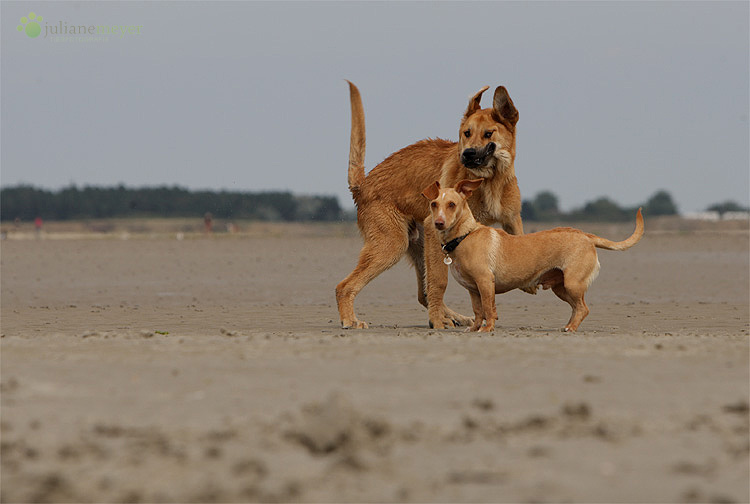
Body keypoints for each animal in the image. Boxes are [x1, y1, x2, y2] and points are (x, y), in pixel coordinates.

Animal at [338, 80, 524, 328]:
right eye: (467, 133)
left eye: (488, 134)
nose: (467, 154)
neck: (489, 180)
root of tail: (363, 185)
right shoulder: (435, 228)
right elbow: (439, 281)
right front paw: (436, 322)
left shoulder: (512, 220)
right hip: (393, 245)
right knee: (344, 286)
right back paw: (351, 320)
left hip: (418, 247)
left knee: (422, 294)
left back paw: (454, 317)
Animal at [424, 179, 648, 332]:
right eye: (434, 204)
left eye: (452, 204)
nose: (439, 223)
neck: (464, 236)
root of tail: (586, 235)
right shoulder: (473, 289)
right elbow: (478, 311)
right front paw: (474, 328)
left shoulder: (485, 282)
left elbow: (489, 309)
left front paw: (487, 329)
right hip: (561, 288)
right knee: (577, 308)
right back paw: (567, 326)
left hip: (573, 284)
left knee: (583, 308)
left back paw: (571, 328)